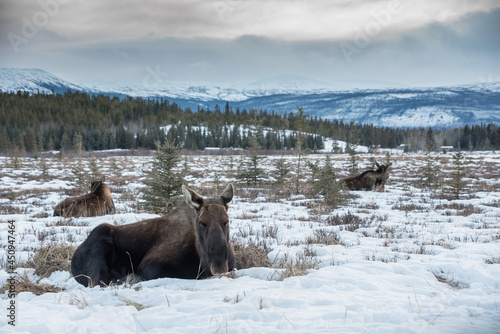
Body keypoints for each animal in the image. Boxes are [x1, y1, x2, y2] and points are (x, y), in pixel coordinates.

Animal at [71, 183, 236, 288]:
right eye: (202, 222)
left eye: (226, 221)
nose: (219, 265)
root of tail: (74, 260)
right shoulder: (149, 267)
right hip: (99, 241)